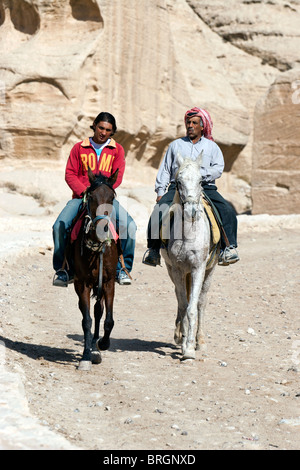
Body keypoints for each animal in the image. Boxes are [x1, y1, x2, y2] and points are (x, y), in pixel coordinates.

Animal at [161, 151, 219, 360]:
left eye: (201, 180)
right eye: (178, 181)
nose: (192, 211)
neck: (188, 234)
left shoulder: (198, 268)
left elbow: (193, 307)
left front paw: (190, 349)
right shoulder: (177, 269)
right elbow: (183, 303)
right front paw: (184, 342)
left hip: (210, 270)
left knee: (201, 302)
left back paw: (199, 340)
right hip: (171, 270)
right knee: (180, 299)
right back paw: (180, 335)